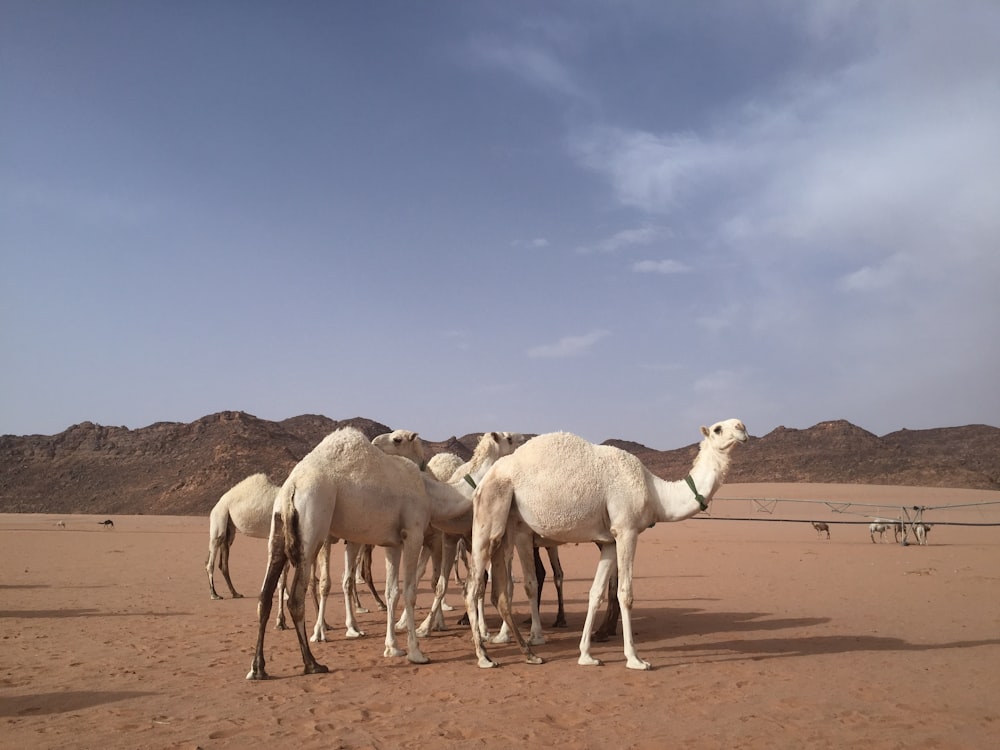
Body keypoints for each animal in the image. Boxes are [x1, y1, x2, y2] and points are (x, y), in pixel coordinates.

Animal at [246, 428, 472, 680]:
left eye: (397, 439)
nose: (376, 442)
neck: (429, 489)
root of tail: (291, 490)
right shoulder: (414, 533)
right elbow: (412, 591)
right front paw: (416, 651)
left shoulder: (394, 542)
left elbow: (393, 591)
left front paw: (393, 647)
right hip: (313, 527)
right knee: (296, 597)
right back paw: (312, 662)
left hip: (278, 530)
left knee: (264, 596)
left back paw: (258, 668)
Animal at [464, 420, 748, 672]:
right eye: (718, 428)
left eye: (737, 424)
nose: (743, 428)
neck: (656, 493)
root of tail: (485, 480)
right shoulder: (626, 530)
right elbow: (625, 593)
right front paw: (635, 659)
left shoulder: (609, 541)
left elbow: (596, 592)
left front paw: (586, 655)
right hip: (493, 517)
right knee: (475, 587)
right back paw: (485, 657)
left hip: (509, 526)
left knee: (500, 590)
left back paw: (529, 653)